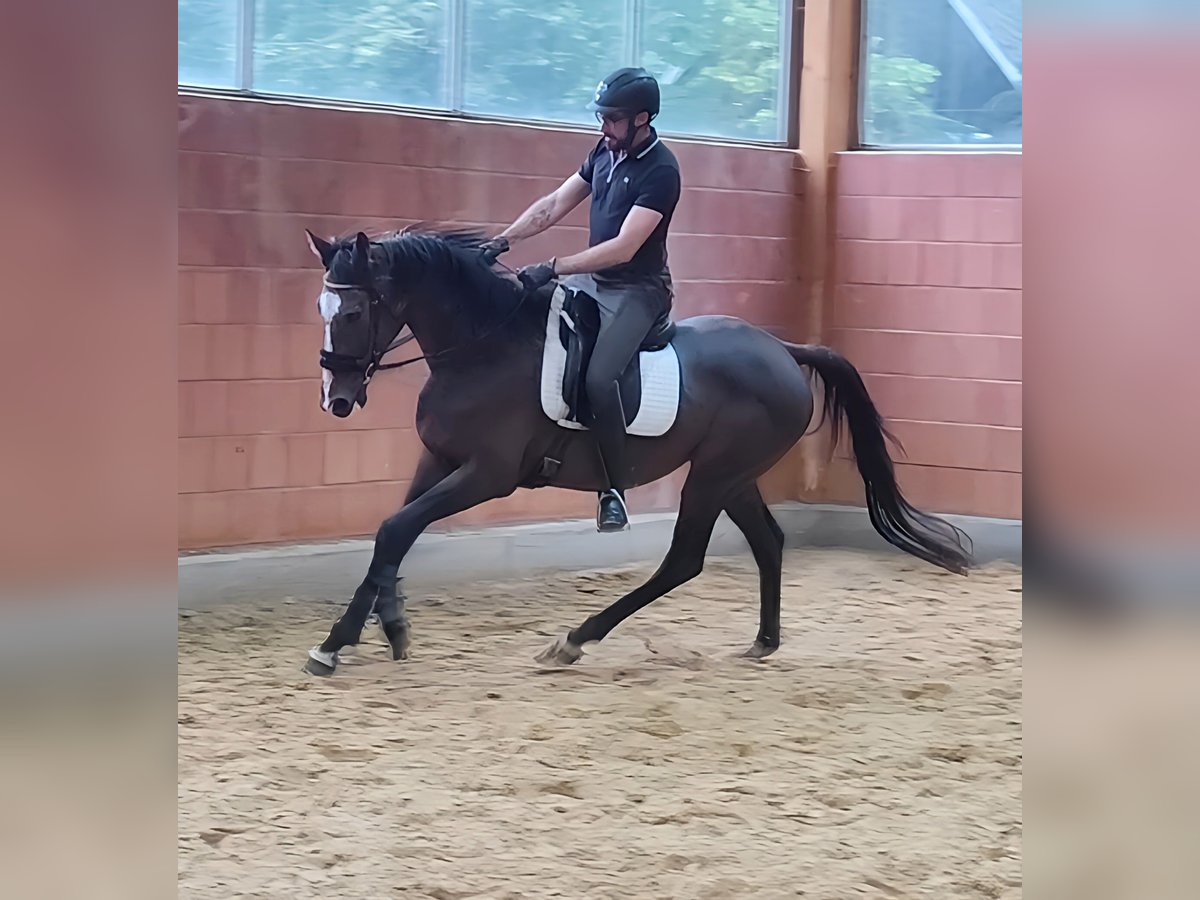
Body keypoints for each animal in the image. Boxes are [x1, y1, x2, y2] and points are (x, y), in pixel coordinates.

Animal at [300, 226, 974, 676]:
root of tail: (783, 350)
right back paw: (763, 641)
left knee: (684, 560)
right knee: (768, 542)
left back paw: (574, 639)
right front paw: (371, 630)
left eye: (353, 310)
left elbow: (396, 529)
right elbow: (393, 532)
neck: (481, 349)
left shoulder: (486, 474)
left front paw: (354, 638)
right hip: (734, 476)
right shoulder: (438, 460)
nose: (337, 399)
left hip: (714, 475)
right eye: (322, 307)